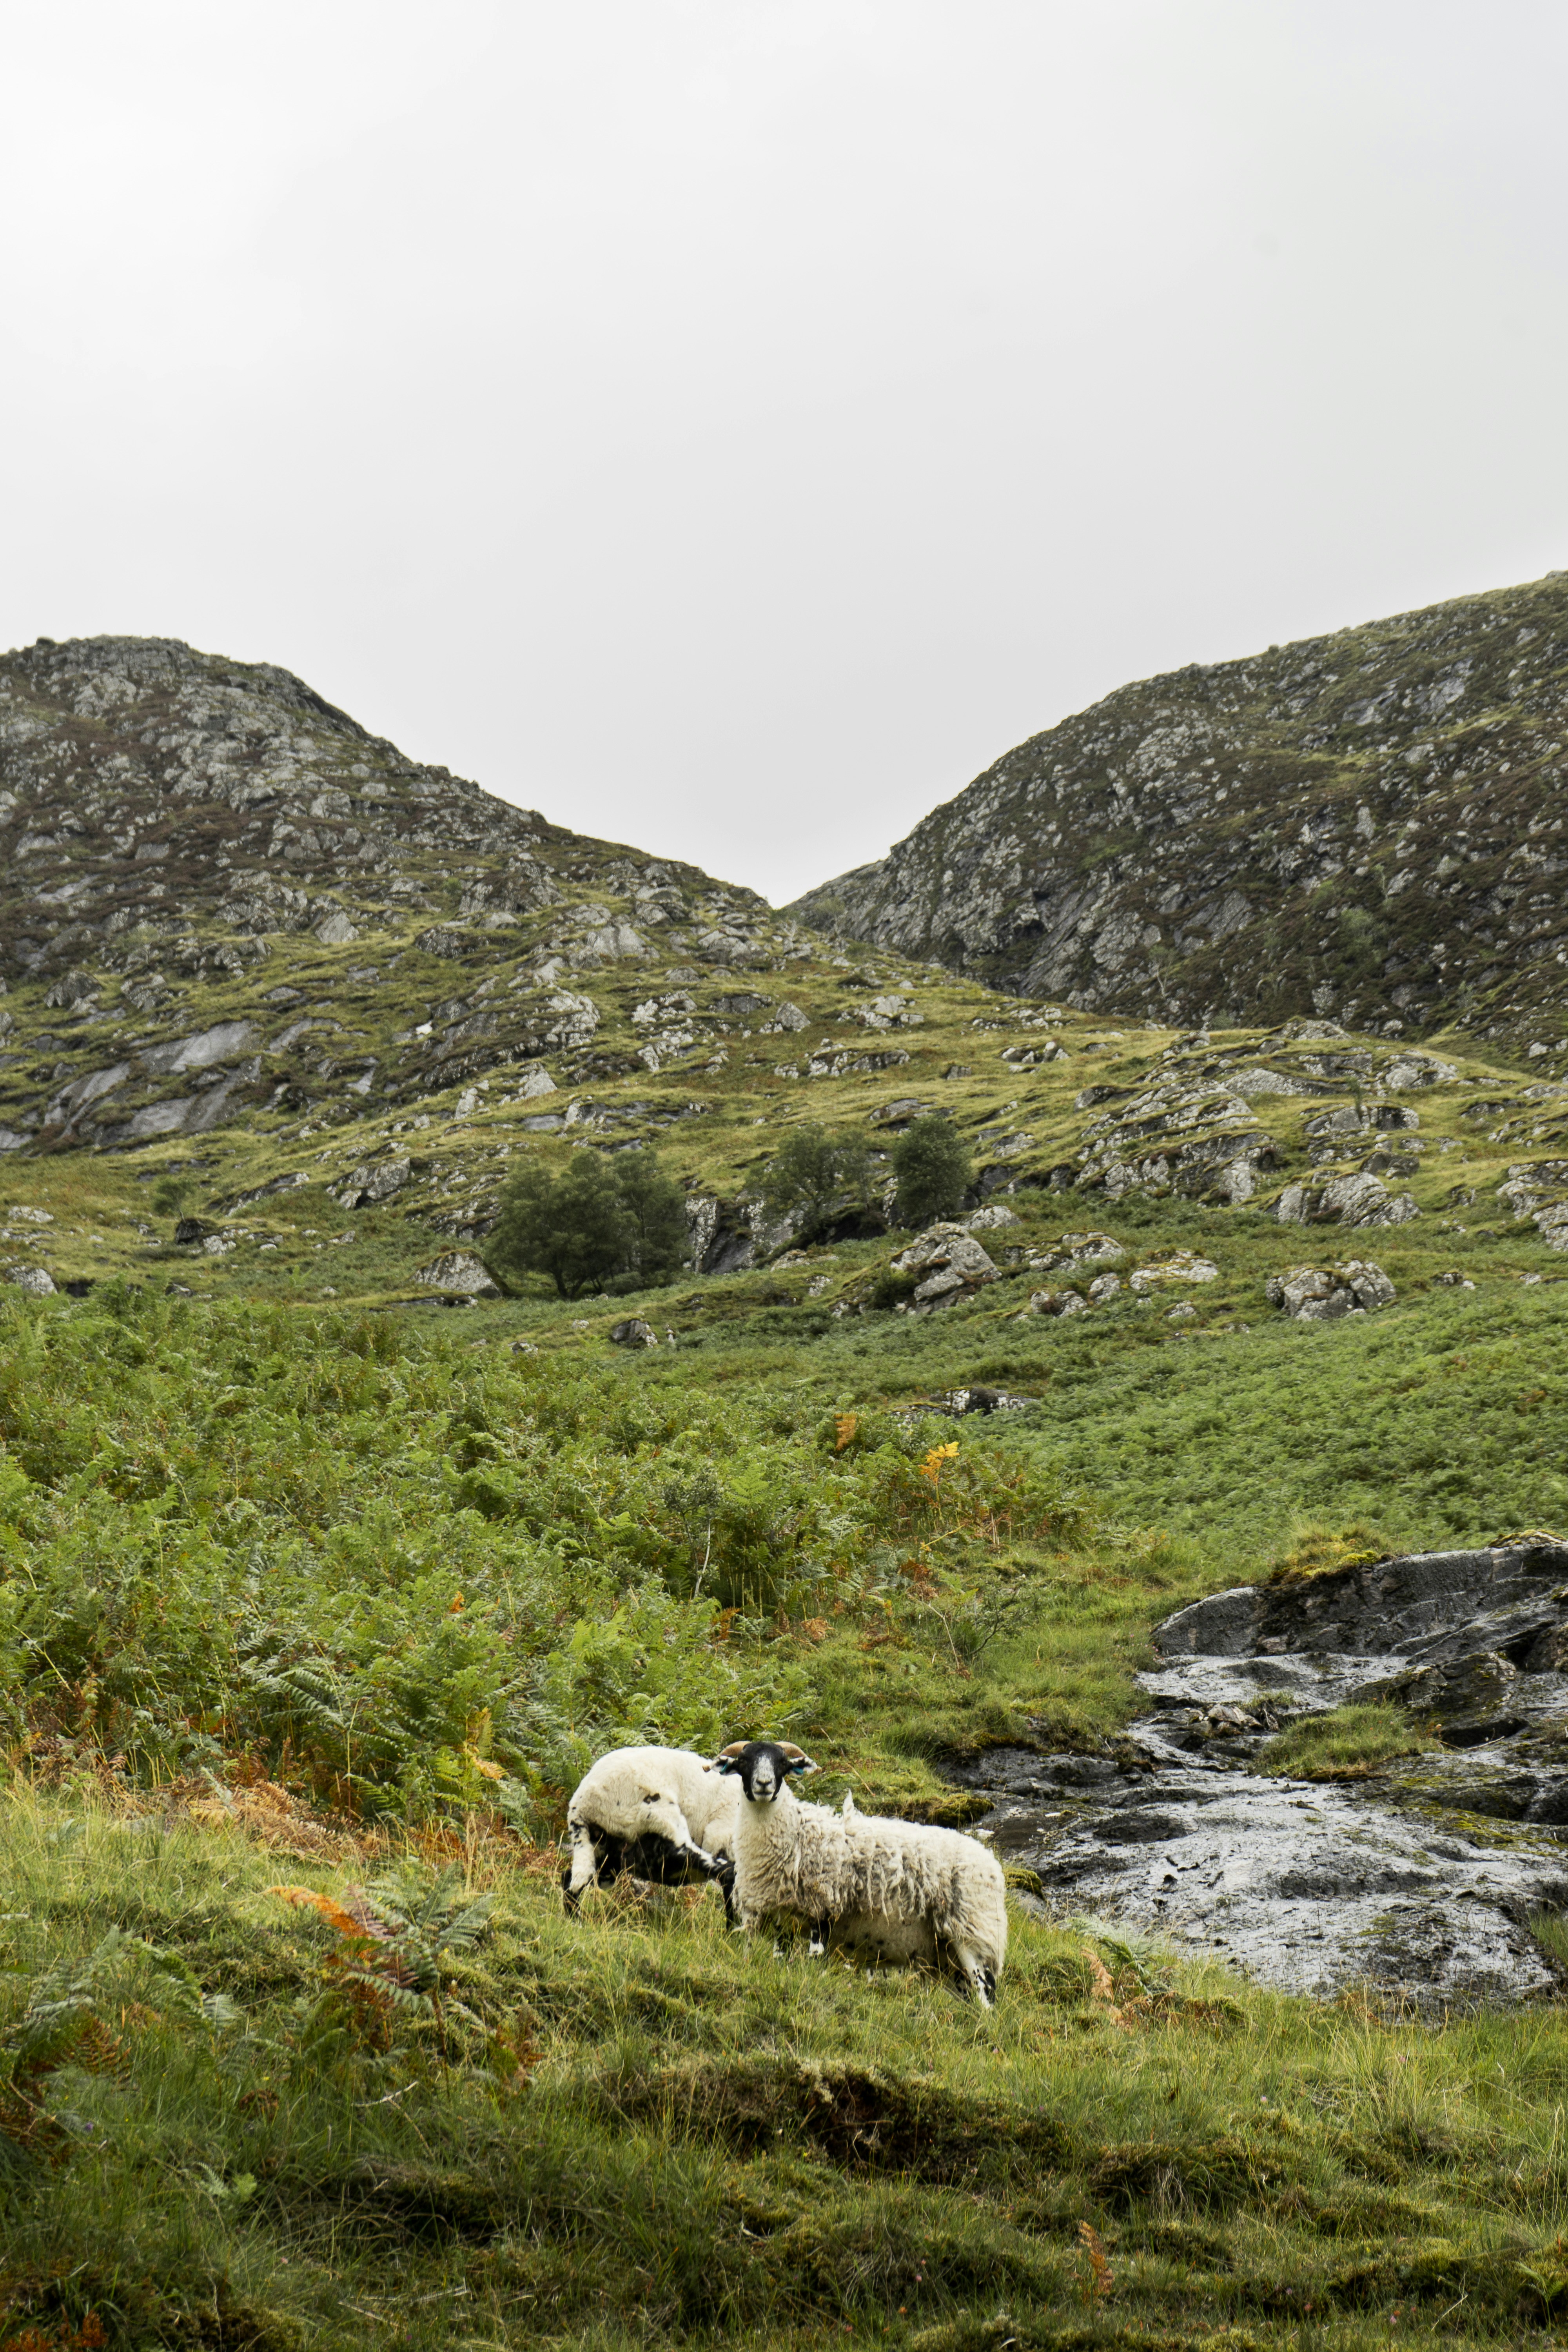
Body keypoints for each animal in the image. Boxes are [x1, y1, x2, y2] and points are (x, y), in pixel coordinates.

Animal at [562, 1744, 739, 1917]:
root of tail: (581, 1805)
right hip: (660, 1820)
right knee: (718, 1868)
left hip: (607, 1852)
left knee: (572, 1879)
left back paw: (578, 1918)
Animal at [715, 1740, 1008, 2006]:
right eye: (744, 1762)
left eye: (783, 1764)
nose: (764, 1785)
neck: (794, 1831)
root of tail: (991, 1863)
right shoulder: (783, 1918)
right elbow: (780, 1958)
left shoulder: (824, 1907)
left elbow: (815, 1956)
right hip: (948, 1955)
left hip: (972, 1932)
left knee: (987, 1992)